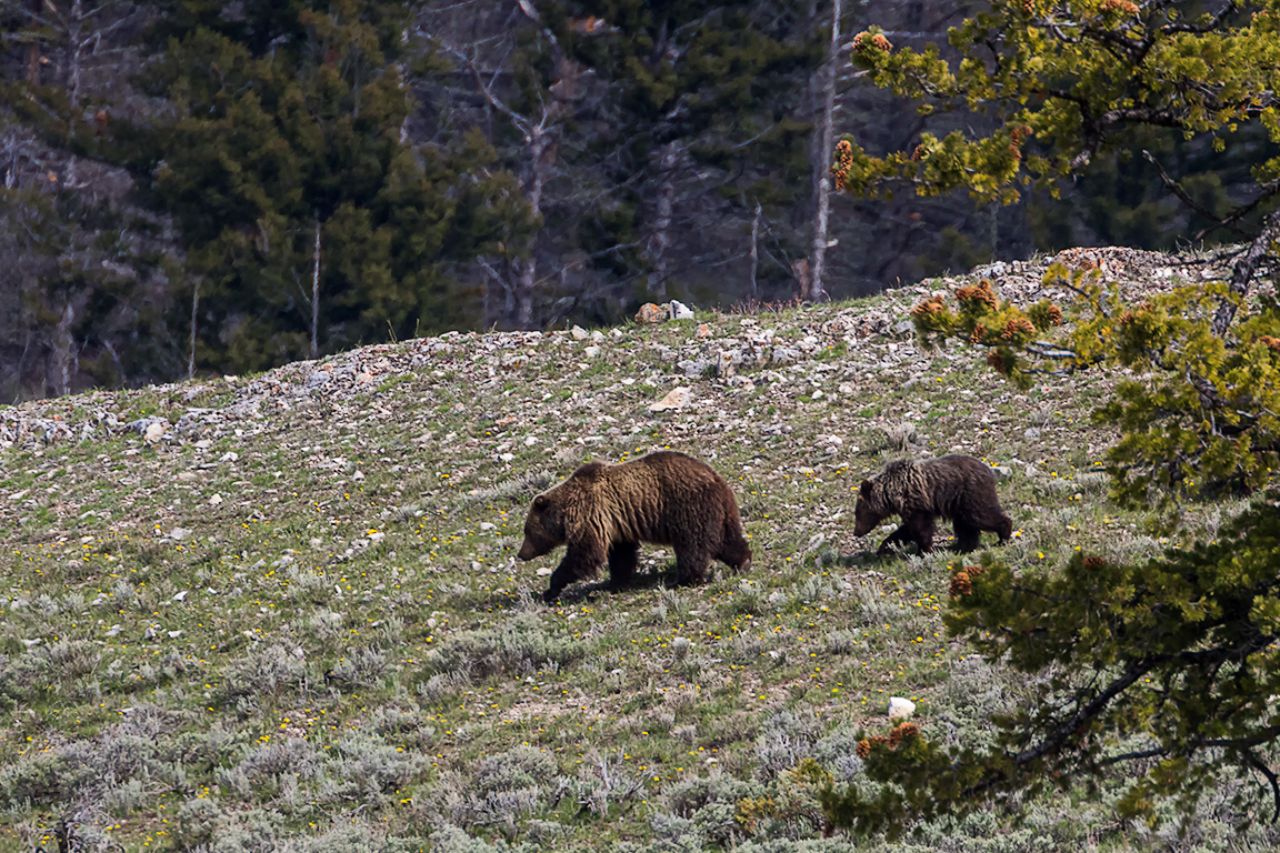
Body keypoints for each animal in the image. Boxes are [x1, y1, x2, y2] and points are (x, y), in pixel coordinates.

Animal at [517, 451, 752, 603]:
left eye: (527, 531)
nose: (521, 554)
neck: (567, 512)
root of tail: (717, 479)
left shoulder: (591, 513)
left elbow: (585, 553)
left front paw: (552, 588)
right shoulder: (616, 525)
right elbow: (621, 555)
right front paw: (616, 582)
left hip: (689, 507)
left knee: (693, 546)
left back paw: (684, 579)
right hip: (720, 513)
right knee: (727, 540)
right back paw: (743, 562)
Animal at [853, 454, 1012, 554]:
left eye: (857, 513)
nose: (856, 532)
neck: (891, 494)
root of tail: (988, 470)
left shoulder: (916, 503)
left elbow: (920, 528)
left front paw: (924, 550)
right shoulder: (910, 508)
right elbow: (906, 530)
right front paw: (885, 547)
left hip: (970, 494)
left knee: (981, 516)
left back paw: (1003, 536)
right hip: (959, 504)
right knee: (965, 525)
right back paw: (963, 546)